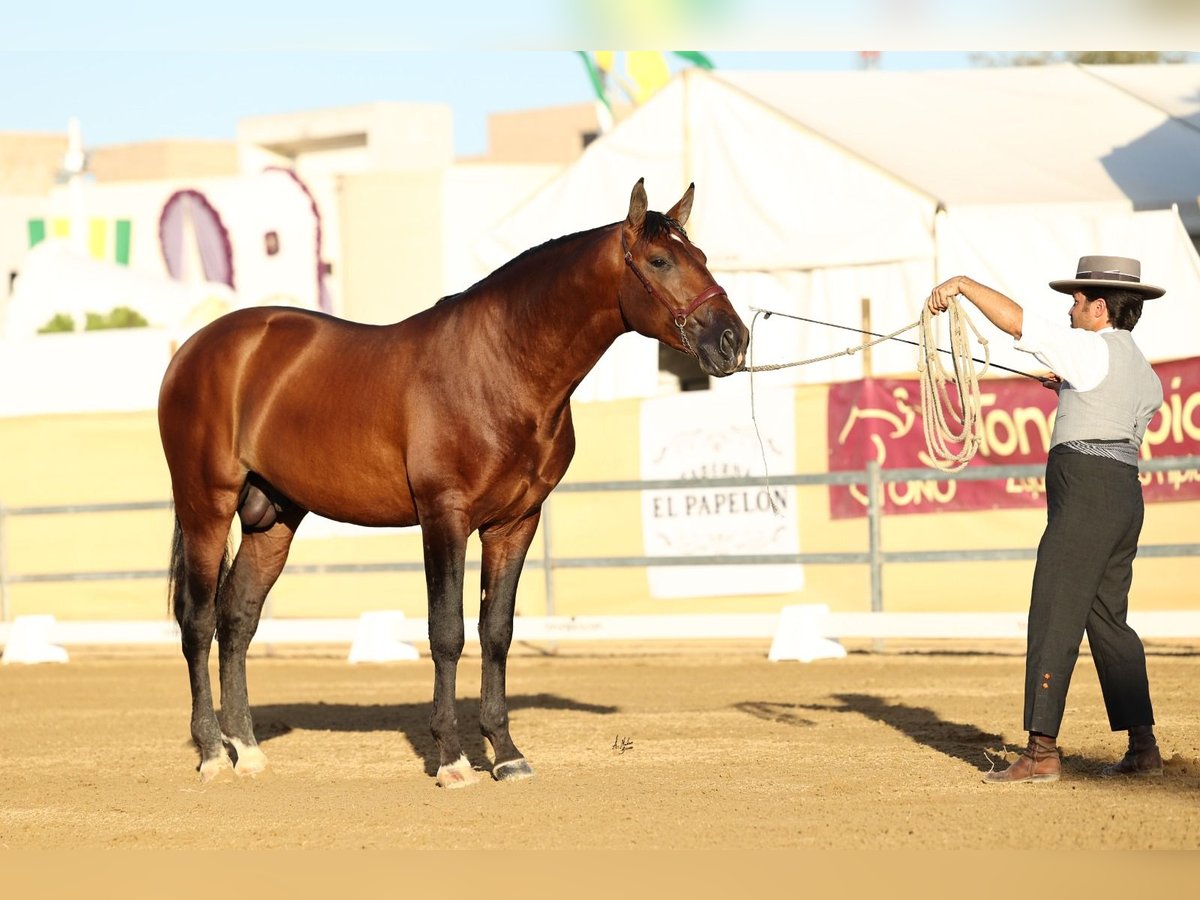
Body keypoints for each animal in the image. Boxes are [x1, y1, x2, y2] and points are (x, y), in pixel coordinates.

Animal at [154, 177, 744, 787]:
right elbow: (447, 633)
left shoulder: (515, 523)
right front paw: (453, 759)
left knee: (237, 619)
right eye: (660, 261)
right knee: (198, 622)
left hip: (272, 518)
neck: (499, 367)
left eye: (701, 256)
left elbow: (497, 632)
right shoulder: (445, 516)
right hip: (206, 505)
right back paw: (212, 753)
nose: (733, 339)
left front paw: (505, 753)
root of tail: (195, 349)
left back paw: (246, 750)